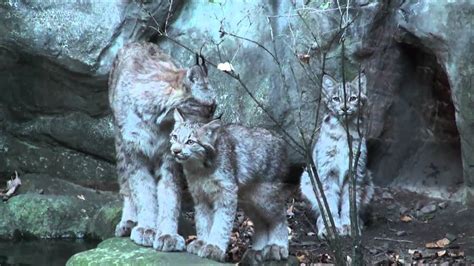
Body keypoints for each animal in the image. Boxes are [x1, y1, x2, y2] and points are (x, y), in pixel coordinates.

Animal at [170, 109, 296, 262]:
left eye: (190, 142)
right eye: (175, 137)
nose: (175, 151)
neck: (199, 168)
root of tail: (279, 137)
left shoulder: (226, 194)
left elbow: (222, 223)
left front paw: (214, 247)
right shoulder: (200, 196)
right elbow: (202, 221)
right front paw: (202, 242)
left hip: (264, 196)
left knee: (280, 217)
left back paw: (277, 246)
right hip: (248, 198)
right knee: (260, 222)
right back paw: (257, 250)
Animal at [300, 72, 374, 237]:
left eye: (353, 98)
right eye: (336, 98)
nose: (344, 108)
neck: (343, 129)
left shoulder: (356, 171)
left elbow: (350, 203)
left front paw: (349, 226)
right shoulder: (327, 172)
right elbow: (329, 202)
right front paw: (332, 228)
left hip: (369, 179)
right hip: (306, 177)